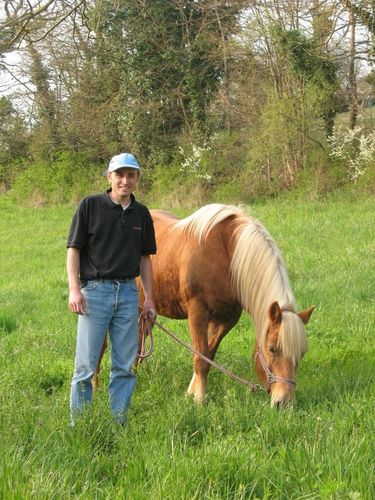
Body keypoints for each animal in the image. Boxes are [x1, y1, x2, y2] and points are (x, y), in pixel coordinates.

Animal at [141, 203, 314, 406]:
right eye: (272, 349)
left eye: (302, 353)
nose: (285, 402)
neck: (227, 255)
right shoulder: (197, 312)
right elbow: (201, 357)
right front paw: (199, 399)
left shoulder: (227, 318)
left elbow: (208, 354)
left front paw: (191, 392)